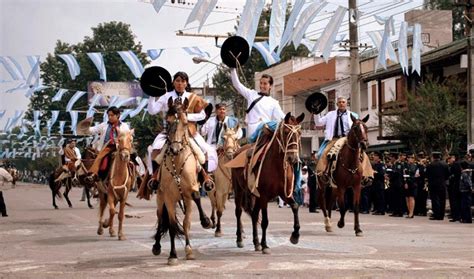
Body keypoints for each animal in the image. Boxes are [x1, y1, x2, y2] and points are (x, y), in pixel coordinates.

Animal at [153, 97, 210, 266]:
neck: (177, 162)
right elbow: (172, 226)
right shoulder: (169, 198)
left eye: (185, 123)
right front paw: (172, 255)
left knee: (186, 221)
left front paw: (206, 221)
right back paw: (156, 246)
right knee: (160, 218)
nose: (175, 149)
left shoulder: (190, 191)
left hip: (186, 200)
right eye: (168, 122)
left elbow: (187, 220)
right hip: (160, 199)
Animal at [232, 112, 304, 255]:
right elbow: (265, 221)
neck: (276, 166)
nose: (292, 158)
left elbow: (295, 206)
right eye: (286, 132)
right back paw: (240, 239)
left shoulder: (284, 194)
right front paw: (265, 245)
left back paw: (256, 242)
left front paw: (295, 235)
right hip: (239, 190)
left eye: (299, 133)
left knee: (254, 214)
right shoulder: (264, 196)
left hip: (255, 195)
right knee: (238, 212)